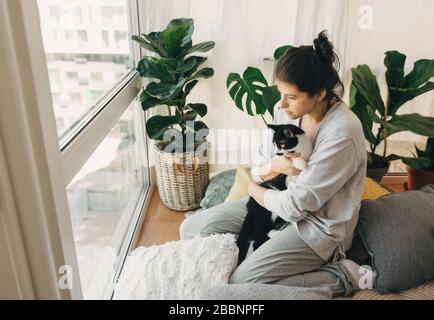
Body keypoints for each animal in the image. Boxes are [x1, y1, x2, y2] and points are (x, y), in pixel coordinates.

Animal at [237, 124, 312, 266]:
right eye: (273, 144)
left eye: (281, 144)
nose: (277, 152)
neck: (300, 148)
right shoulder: (279, 166)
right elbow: (286, 160)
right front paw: (300, 163)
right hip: (261, 210)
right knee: (259, 231)